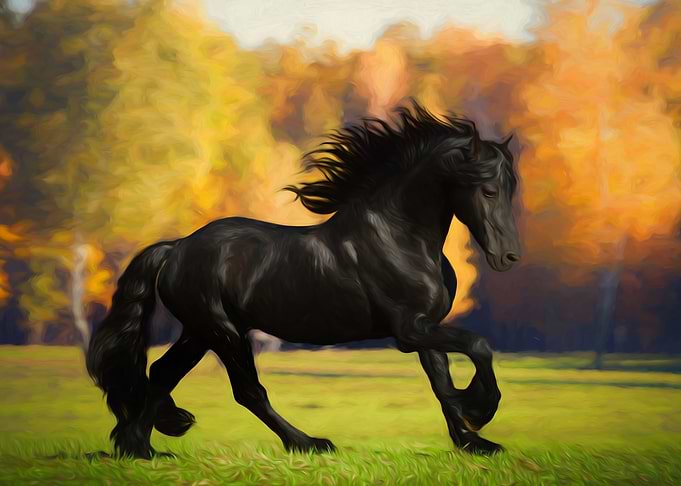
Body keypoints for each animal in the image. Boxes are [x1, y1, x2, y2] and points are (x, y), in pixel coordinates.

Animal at [86, 101, 521, 459]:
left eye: (510, 189)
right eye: (488, 189)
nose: (509, 257)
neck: (400, 236)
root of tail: (175, 249)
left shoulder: (424, 327)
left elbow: (440, 382)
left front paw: (474, 441)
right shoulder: (409, 329)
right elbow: (477, 346)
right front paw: (479, 409)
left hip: (200, 331)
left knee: (162, 373)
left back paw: (139, 448)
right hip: (223, 331)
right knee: (247, 391)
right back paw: (309, 443)